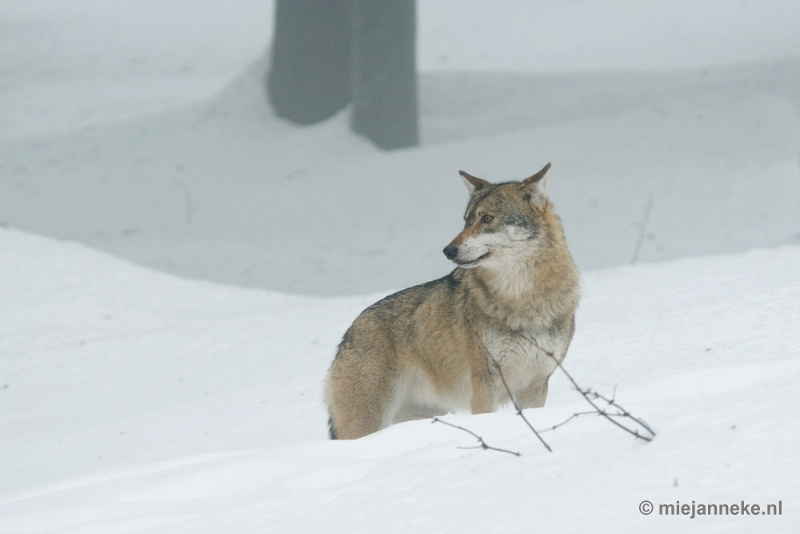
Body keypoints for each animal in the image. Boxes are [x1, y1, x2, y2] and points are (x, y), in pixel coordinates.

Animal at [322, 163, 580, 440]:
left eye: (487, 218)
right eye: (466, 220)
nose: (448, 250)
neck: (524, 300)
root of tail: (346, 337)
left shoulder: (537, 382)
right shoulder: (484, 381)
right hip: (368, 423)